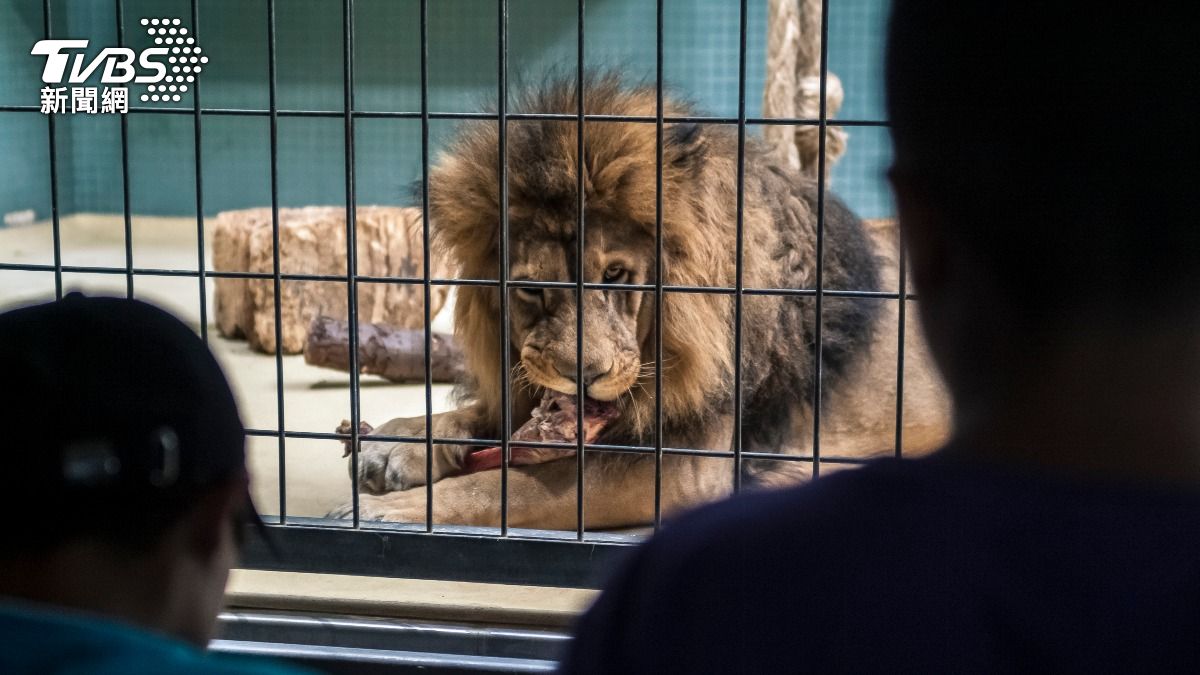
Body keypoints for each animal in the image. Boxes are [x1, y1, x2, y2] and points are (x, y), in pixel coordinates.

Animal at [333, 72, 950, 526]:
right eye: (531, 288)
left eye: (616, 274)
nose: (583, 376)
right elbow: (480, 418)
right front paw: (396, 442)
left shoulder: (683, 468)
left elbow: (505, 483)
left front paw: (385, 511)